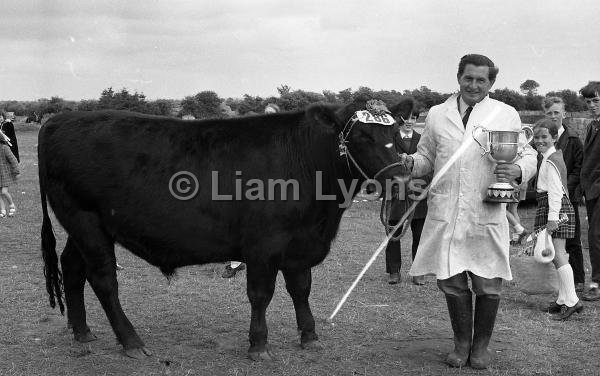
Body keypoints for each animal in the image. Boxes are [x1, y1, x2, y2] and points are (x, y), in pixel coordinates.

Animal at [37, 97, 412, 358]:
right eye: (362, 136)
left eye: (396, 133)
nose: (400, 180)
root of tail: (59, 120)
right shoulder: (264, 246)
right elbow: (261, 294)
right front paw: (258, 345)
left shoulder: (299, 244)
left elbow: (301, 289)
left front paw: (309, 336)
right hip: (85, 220)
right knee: (103, 280)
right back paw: (131, 342)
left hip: (84, 226)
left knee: (72, 268)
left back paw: (82, 332)